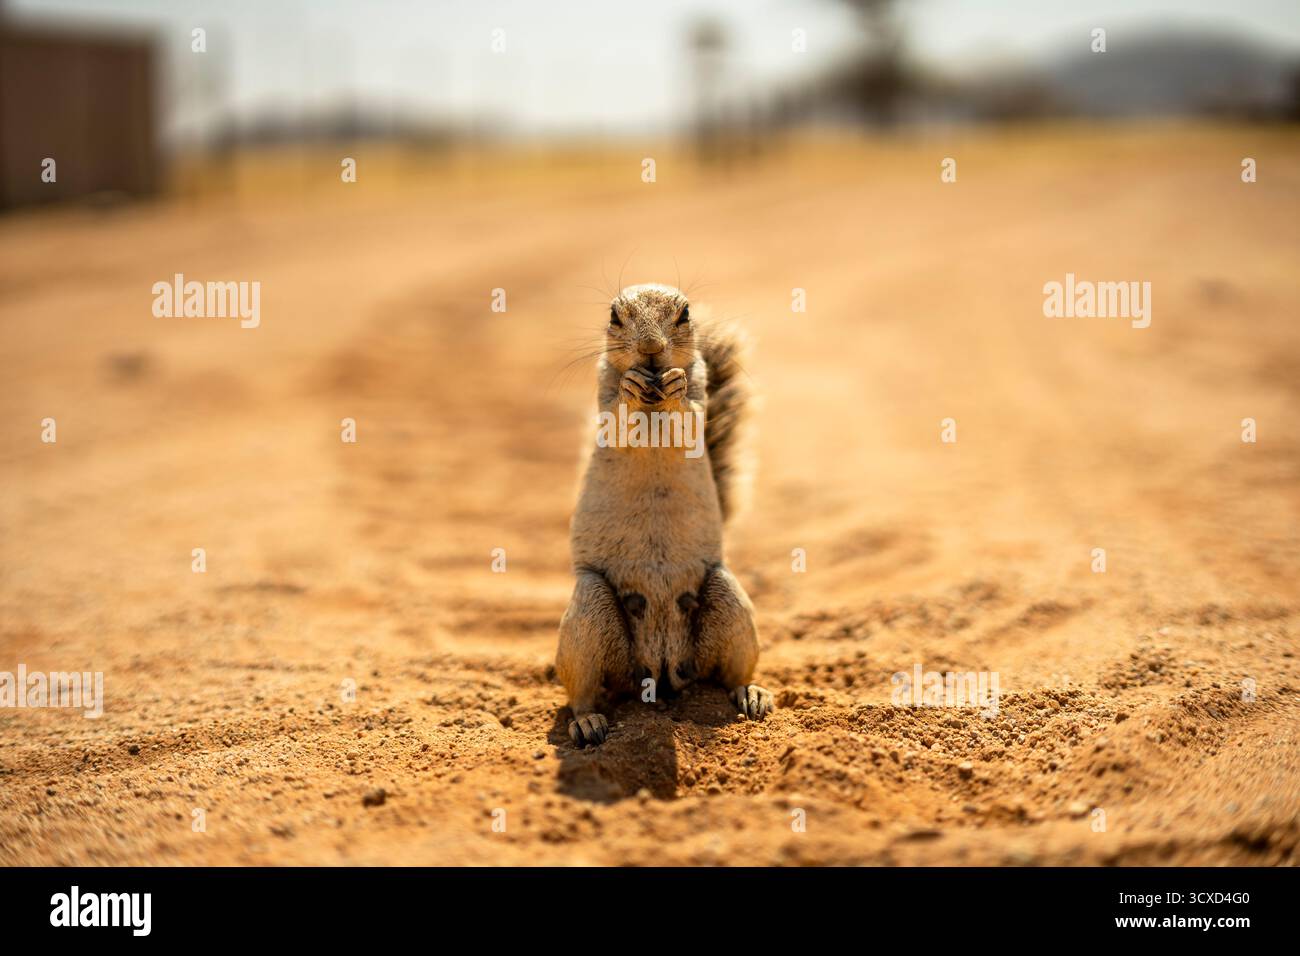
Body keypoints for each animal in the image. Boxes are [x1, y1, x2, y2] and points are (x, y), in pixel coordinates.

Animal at [555, 283, 772, 746]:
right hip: (589, 611)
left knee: (730, 674)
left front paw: (673, 383)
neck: (653, 407)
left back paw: (752, 694)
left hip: (730, 604)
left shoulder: (700, 393)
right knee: (583, 691)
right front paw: (632, 384)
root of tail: (660, 673)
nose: (652, 350)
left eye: (685, 313)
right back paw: (587, 723)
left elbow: (691, 412)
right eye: (614, 316)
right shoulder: (602, 392)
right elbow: (616, 411)